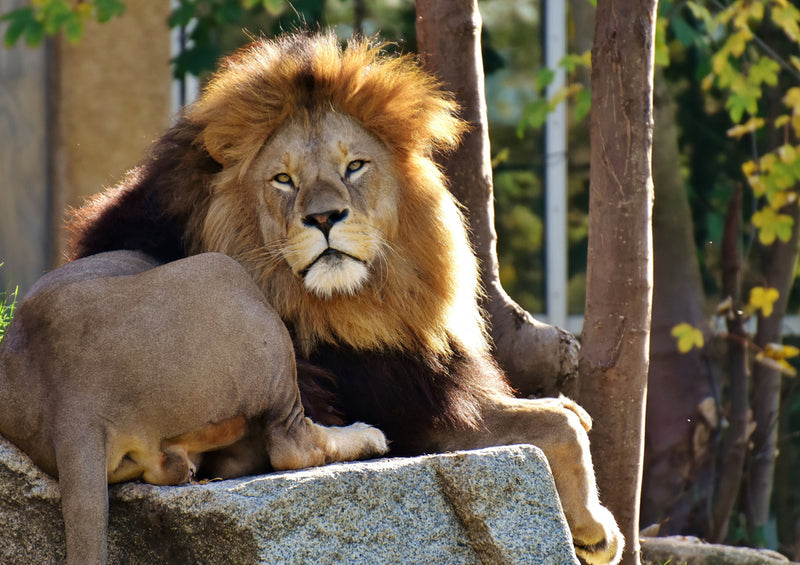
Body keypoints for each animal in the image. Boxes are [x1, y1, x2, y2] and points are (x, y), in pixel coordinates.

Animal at [65, 32, 620, 564]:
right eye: (283, 179)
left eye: (354, 166)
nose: (325, 217)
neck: (351, 309)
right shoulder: (412, 406)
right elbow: (560, 427)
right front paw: (597, 529)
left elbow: (563, 414)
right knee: (291, 446)